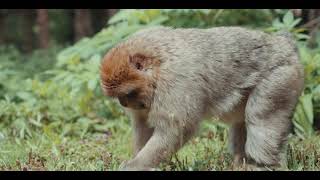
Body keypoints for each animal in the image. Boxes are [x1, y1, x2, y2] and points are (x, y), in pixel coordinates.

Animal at [100, 26, 304, 171]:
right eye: (120, 97)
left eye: (127, 94)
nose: (123, 103)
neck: (159, 65)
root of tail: (284, 43)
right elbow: (144, 125)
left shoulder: (176, 82)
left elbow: (176, 129)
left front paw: (136, 166)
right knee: (241, 121)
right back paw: (241, 163)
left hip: (280, 76)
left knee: (260, 118)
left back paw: (262, 165)